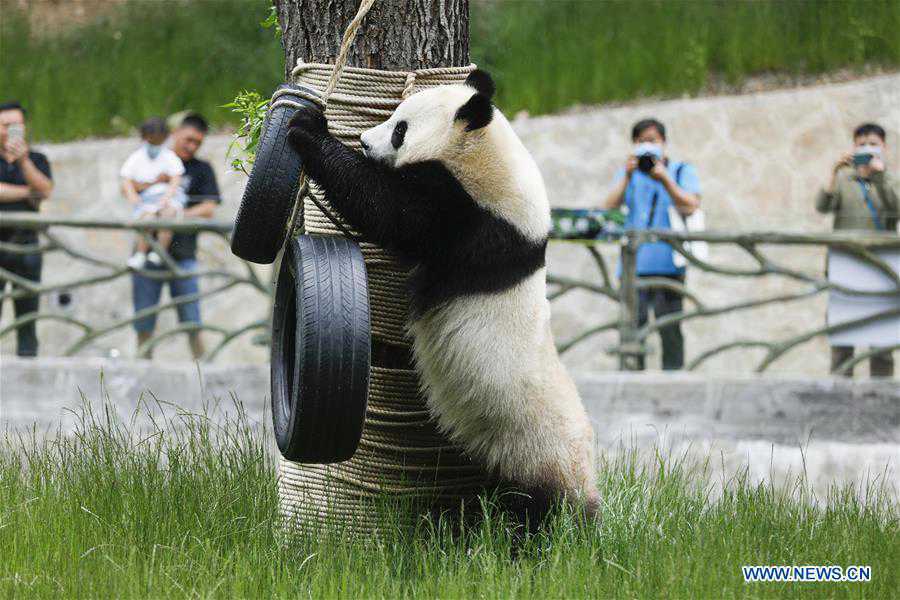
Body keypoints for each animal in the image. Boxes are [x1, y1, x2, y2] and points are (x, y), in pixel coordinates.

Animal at [288, 69, 596, 520]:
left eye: (400, 129)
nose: (364, 141)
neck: (487, 153)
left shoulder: (473, 220)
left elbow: (392, 213)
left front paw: (308, 130)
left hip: (535, 450)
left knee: (533, 508)